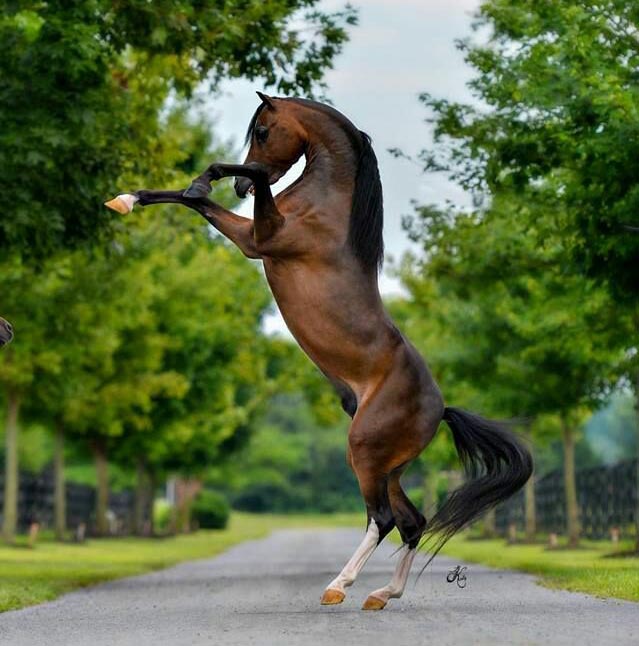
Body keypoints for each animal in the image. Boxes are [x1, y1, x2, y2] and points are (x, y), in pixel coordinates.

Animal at [107, 93, 532, 612]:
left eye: (263, 131)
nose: (241, 187)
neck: (324, 207)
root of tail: (441, 408)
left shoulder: (258, 239)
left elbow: (232, 186)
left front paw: (214, 177)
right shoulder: (252, 235)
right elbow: (193, 200)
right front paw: (127, 199)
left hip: (364, 452)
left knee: (382, 519)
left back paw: (338, 587)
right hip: (388, 466)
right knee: (411, 522)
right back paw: (381, 594)